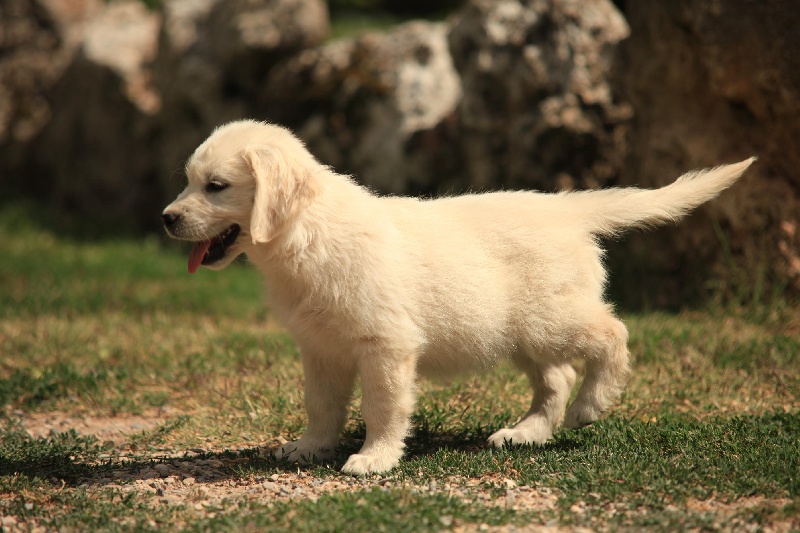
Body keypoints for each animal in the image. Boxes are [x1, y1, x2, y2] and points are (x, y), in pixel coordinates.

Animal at [164, 119, 756, 474]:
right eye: (189, 181)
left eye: (216, 186)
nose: (167, 218)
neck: (305, 234)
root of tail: (566, 208)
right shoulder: (322, 348)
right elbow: (322, 404)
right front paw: (312, 446)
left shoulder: (386, 344)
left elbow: (383, 407)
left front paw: (374, 459)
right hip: (522, 332)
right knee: (556, 379)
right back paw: (527, 433)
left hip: (550, 317)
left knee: (612, 334)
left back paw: (592, 405)